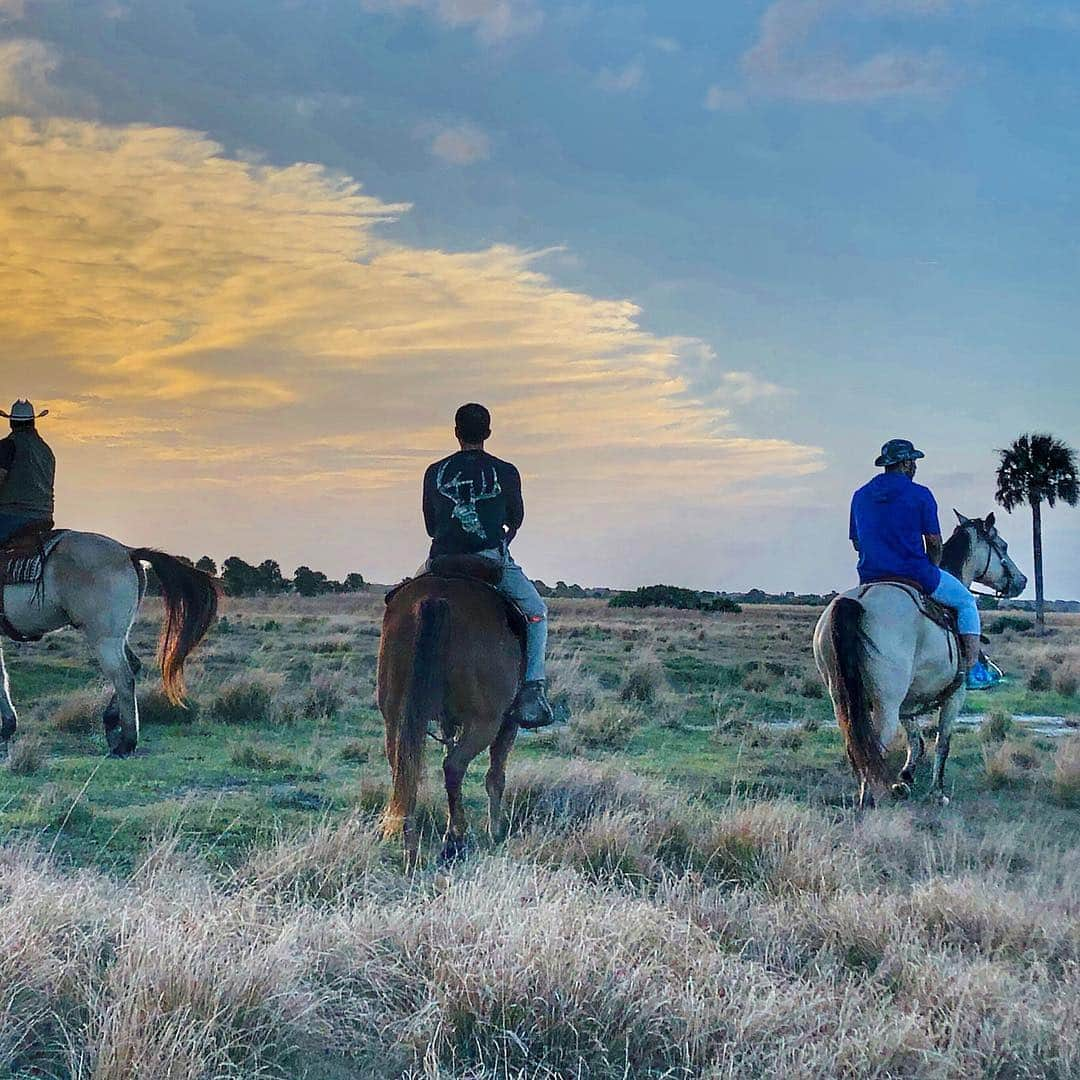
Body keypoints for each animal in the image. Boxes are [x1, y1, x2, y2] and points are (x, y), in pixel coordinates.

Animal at [0, 533, 219, 756]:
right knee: (133, 665)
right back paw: (112, 723)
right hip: (116, 636)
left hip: (103, 638)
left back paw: (126, 743)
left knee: (123, 677)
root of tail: (128, 551)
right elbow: (2, 676)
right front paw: (7, 728)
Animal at [378, 557, 524, 868]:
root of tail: (436, 598)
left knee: (404, 768)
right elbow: (495, 776)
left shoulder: (448, 721)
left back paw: (409, 843)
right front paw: (496, 831)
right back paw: (455, 840)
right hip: (486, 722)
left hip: (394, 717)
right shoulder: (508, 723)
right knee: (454, 767)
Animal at [812, 509, 1023, 807]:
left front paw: (906, 777)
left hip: (841, 698)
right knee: (874, 746)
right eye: (1002, 546)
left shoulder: (908, 701)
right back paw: (870, 799)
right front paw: (937, 791)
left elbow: (916, 740)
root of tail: (858, 600)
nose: (1021, 581)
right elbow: (942, 742)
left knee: (856, 745)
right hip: (886, 704)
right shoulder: (954, 696)